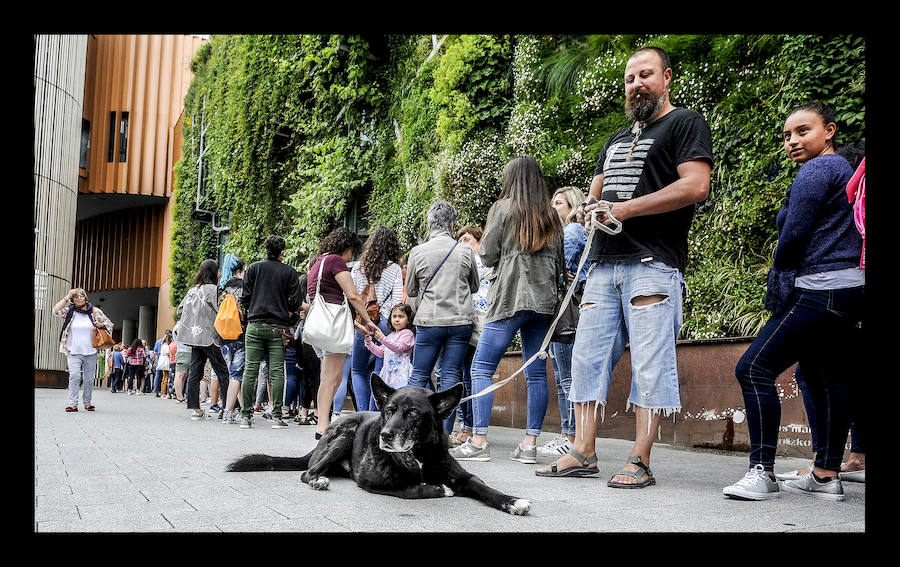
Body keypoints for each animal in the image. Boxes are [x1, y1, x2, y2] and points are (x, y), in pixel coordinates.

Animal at [225, 374, 532, 516]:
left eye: (413, 413)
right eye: (389, 410)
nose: (384, 435)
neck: (418, 455)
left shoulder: (462, 476)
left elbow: (482, 486)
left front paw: (511, 501)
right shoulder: (373, 480)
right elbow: (408, 488)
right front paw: (436, 488)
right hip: (345, 435)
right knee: (307, 472)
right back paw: (318, 479)